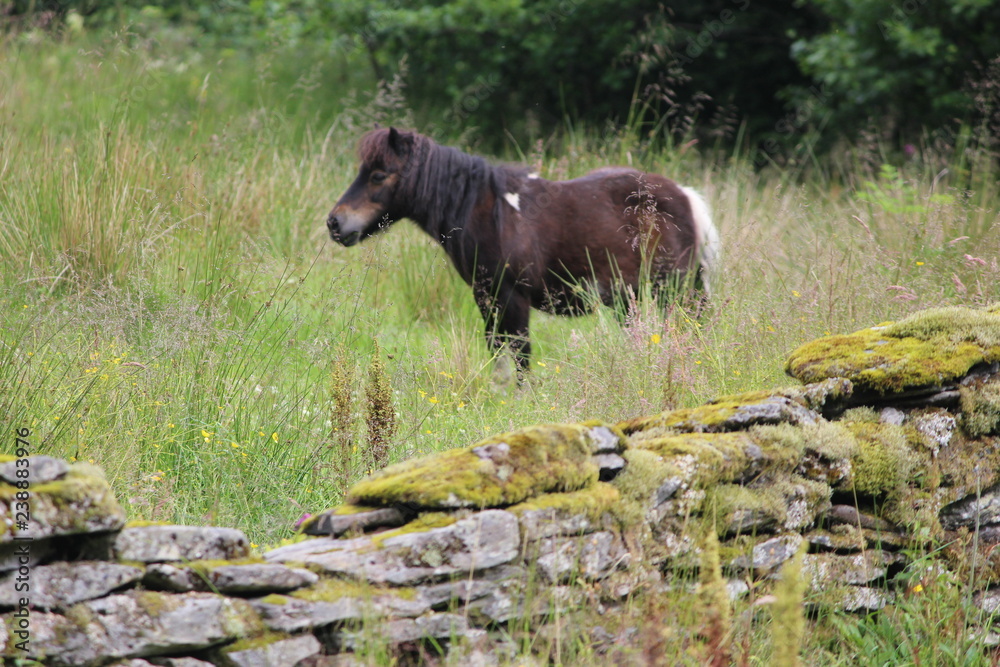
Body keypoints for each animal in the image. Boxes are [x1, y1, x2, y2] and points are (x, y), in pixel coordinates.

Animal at [327, 127, 721, 375]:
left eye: (379, 175)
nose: (335, 222)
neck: (490, 213)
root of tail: (683, 195)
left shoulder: (511, 298)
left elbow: (519, 356)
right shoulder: (486, 298)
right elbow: (498, 352)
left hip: (676, 290)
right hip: (631, 298)